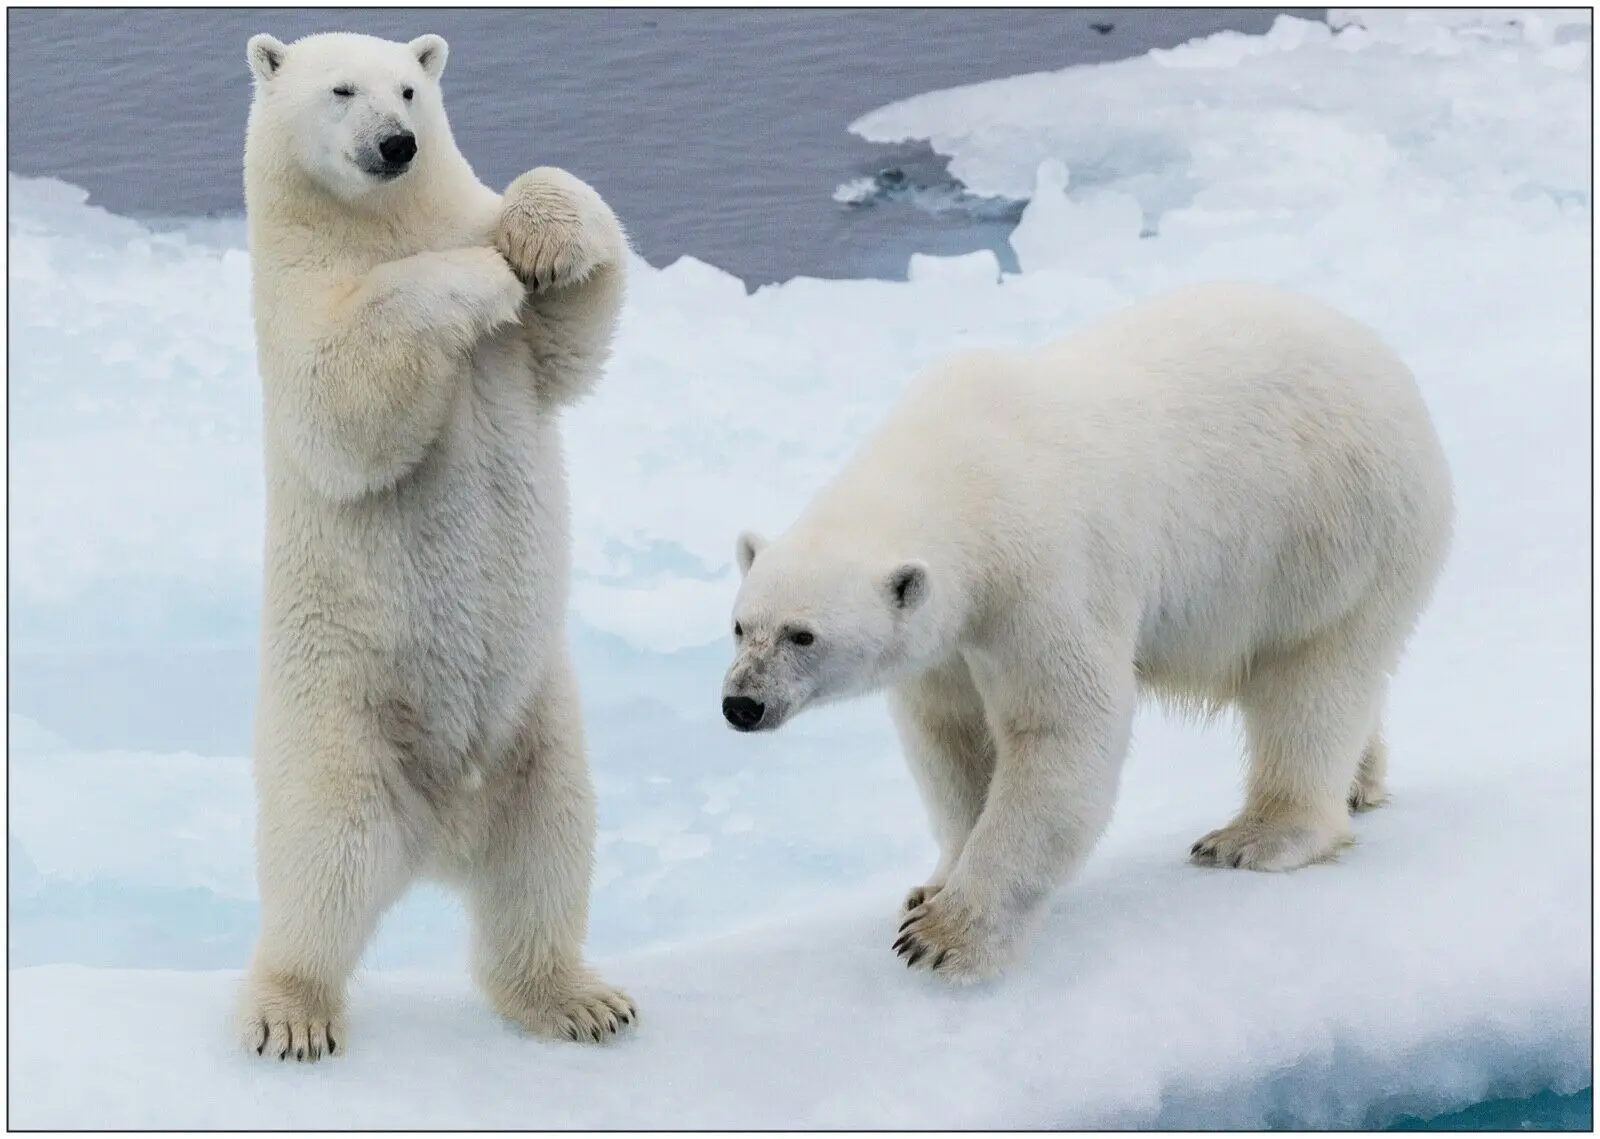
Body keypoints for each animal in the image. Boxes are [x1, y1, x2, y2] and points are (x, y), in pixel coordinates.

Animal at [238, 30, 635, 1060]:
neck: (378, 222)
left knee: (546, 855)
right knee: (321, 869)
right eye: (341, 90)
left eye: (411, 88)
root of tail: (442, 833)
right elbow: (346, 399)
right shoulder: (294, 300)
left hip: (538, 729)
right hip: (339, 724)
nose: (396, 144)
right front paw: (481, 276)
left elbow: (575, 331)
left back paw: (579, 998)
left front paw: (536, 241)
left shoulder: (523, 348)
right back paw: (290, 1012)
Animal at [722, 282, 1454, 983]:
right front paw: (931, 886)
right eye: (739, 626)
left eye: (802, 635)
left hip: (1331, 533)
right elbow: (951, 737)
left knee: (1311, 679)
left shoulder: (1042, 574)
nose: (740, 704)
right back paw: (1361, 781)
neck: (962, 468)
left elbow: (1061, 727)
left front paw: (944, 936)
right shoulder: (949, 638)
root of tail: (1388, 365)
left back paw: (1255, 835)